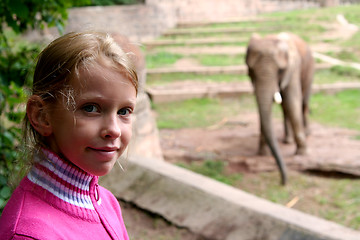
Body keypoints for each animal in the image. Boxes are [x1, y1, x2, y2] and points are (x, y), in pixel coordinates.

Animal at [245, 31, 316, 185]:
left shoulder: (293, 69)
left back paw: (307, 132)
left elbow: (292, 101)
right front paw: (262, 153)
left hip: (310, 68)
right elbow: (263, 105)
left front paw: (301, 153)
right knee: (285, 108)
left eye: (281, 70)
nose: (283, 182)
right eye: (251, 70)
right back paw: (287, 140)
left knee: (303, 102)